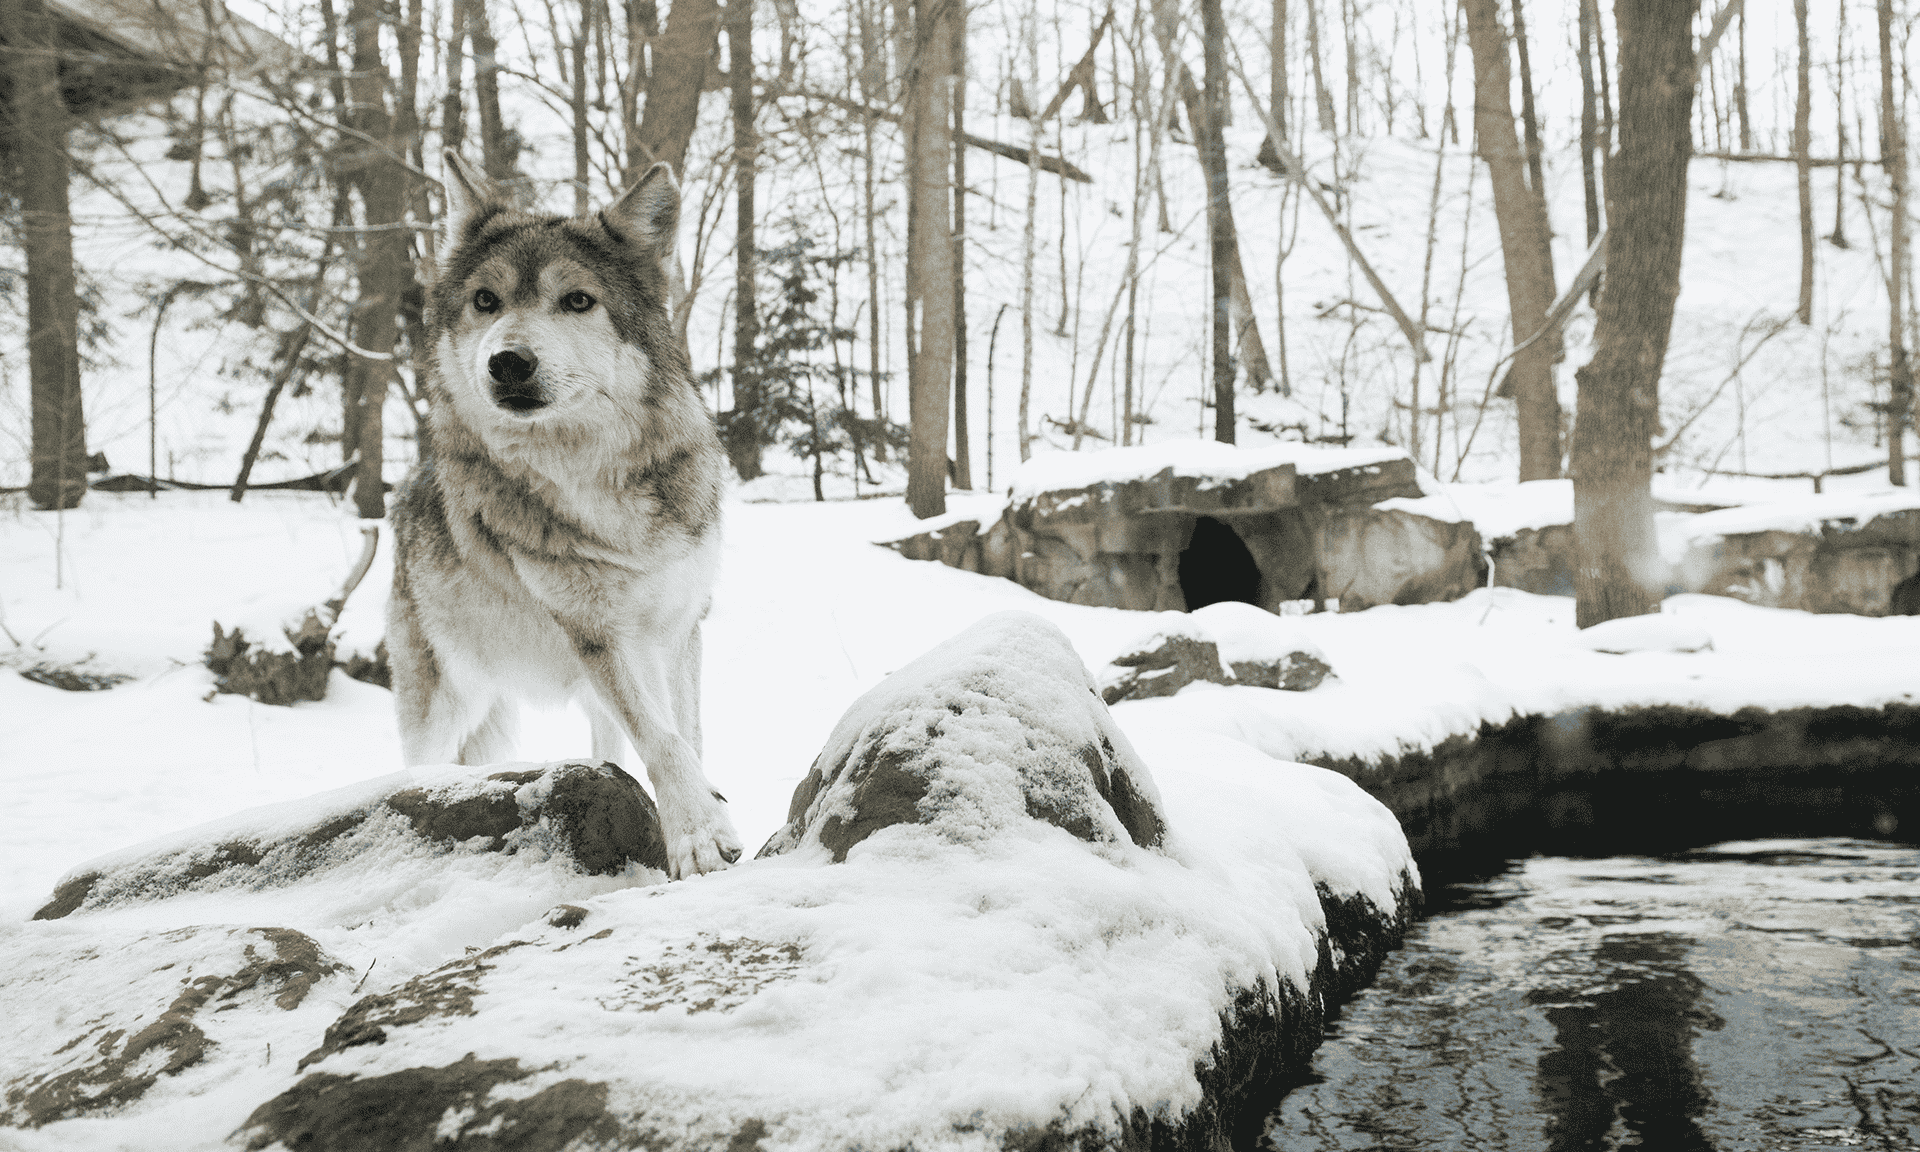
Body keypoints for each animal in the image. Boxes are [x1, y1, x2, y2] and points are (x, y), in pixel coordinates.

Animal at [387, 148, 741, 879]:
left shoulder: (678, 628)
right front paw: (698, 838)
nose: (508, 361)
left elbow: (685, 733)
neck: (597, 481)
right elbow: (663, 739)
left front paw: (704, 818)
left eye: (577, 300)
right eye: (485, 301)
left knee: (608, 746)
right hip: (449, 696)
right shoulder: (599, 634)